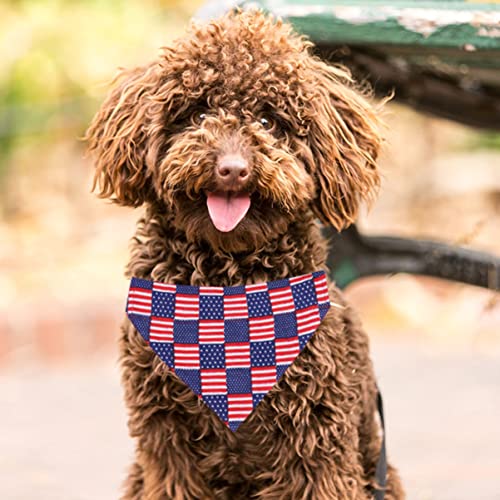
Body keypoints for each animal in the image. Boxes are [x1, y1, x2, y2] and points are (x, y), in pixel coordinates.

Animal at [87, 8, 402, 500]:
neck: (226, 288)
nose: (232, 169)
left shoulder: (317, 444)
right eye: (197, 113)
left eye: (270, 121)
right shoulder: (166, 445)